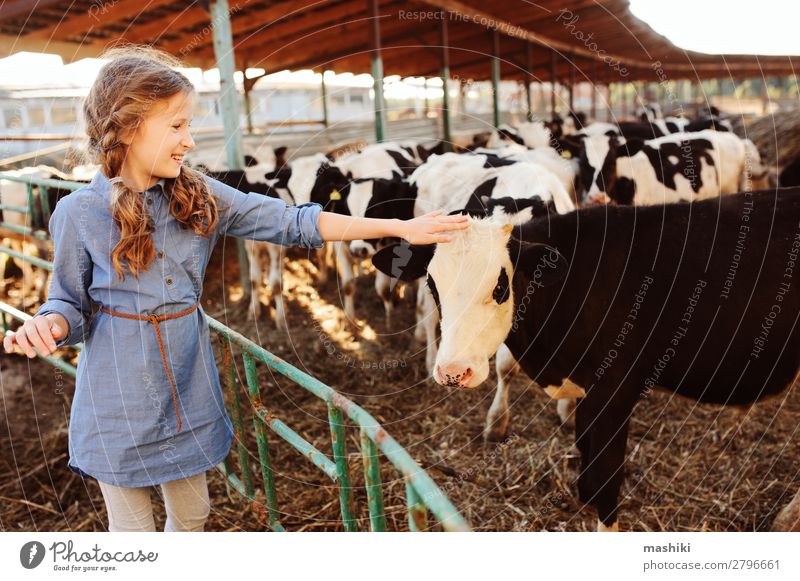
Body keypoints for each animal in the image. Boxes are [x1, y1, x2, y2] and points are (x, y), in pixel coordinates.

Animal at [372, 190, 800, 532]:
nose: (453, 372)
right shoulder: (585, 395)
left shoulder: (615, 392)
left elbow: (604, 481)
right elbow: (585, 467)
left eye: (500, 285)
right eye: (432, 283)